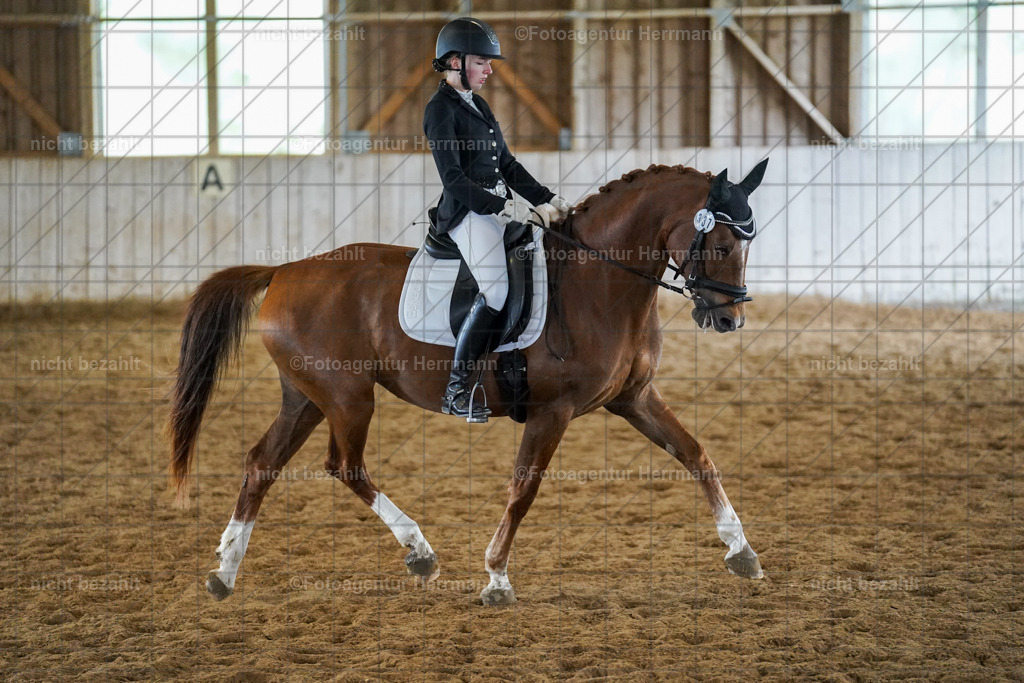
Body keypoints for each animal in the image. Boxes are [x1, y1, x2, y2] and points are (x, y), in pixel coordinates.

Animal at [168, 160, 770, 606]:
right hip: (347, 397)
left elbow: (696, 455)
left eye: (748, 243)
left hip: (308, 398)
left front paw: (741, 551)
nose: (729, 320)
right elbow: (523, 490)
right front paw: (497, 577)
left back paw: (224, 572)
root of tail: (285, 270)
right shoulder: (553, 411)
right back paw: (419, 551)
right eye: (720, 244)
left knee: (261, 464)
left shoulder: (634, 399)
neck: (598, 281)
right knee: (344, 465)